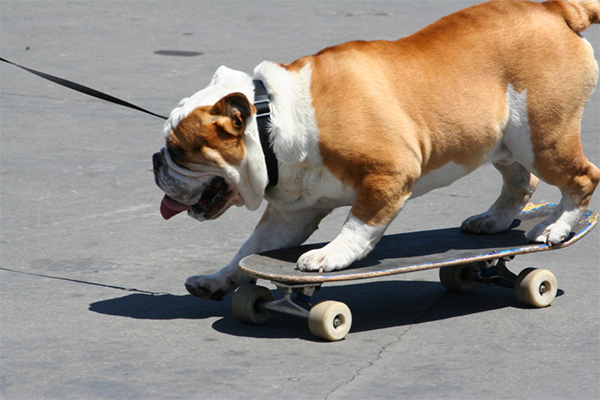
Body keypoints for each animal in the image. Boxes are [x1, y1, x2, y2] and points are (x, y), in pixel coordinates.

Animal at [154, 0, 600, 300]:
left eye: (177, 149)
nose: (156, 161)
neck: (273, 120)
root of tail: (554, 8)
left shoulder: (388, 173)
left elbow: (358, 224)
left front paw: (329, 256)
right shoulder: (289, 214)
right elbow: (250, 250)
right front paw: (220, 279)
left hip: (543, 137)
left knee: (582, 177)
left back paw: (556, 227)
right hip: (506, 142)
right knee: (522, 181)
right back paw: (494, 220)